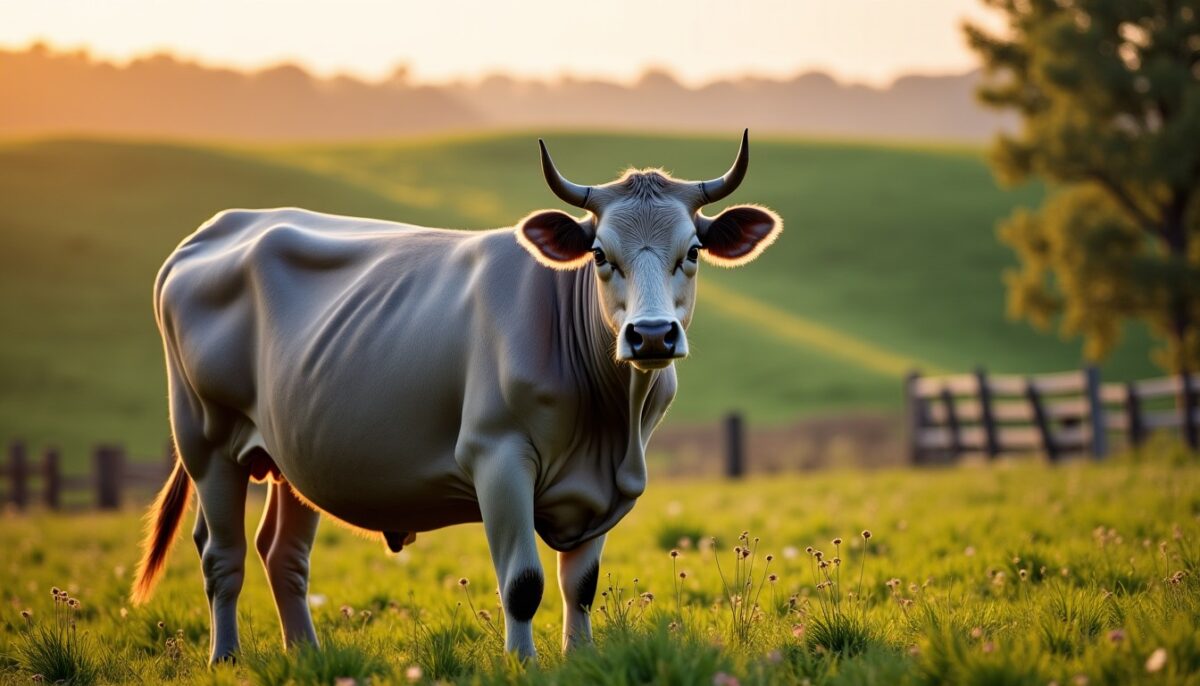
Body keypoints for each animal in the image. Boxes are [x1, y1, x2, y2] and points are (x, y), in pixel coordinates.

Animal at [131, 130, 782, 663]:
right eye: (600, 254)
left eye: (692, 251)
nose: (650, 335)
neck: (608, 423)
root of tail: (217, 227)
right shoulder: (497, 457)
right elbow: (522, 584)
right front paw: (522, 665)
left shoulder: (601, 486)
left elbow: (579, 586)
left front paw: (579, 659)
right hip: (207, 441)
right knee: (222, 557)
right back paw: (225, 658)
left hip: (295, 455)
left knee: (282, 554)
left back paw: (307, 656)